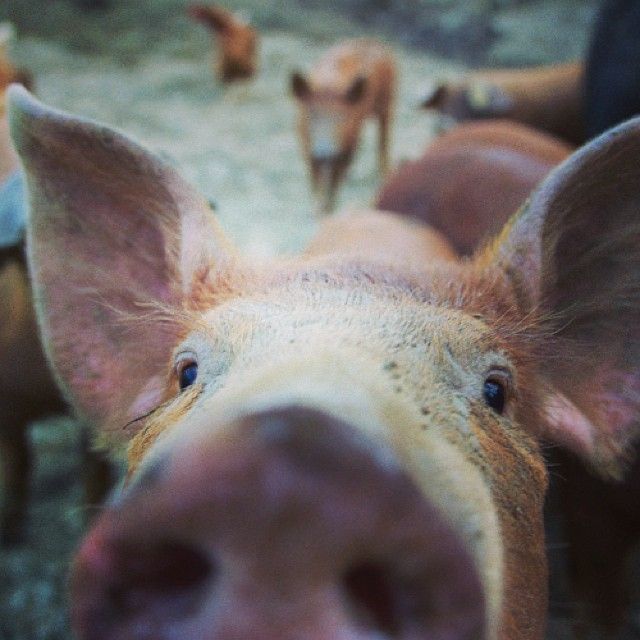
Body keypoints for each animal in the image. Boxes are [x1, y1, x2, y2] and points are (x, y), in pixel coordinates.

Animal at [290, 40, 396, 215]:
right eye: (311, 114)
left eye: (342, 117)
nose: (324, 151)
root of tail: (374, 42)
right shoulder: (304, 140)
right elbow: (315, 177)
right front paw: (317, 209)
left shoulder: (346, 142)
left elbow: (335, 178)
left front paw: (328, 210)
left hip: (388, 102)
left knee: (383, 139)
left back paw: (384, 174)